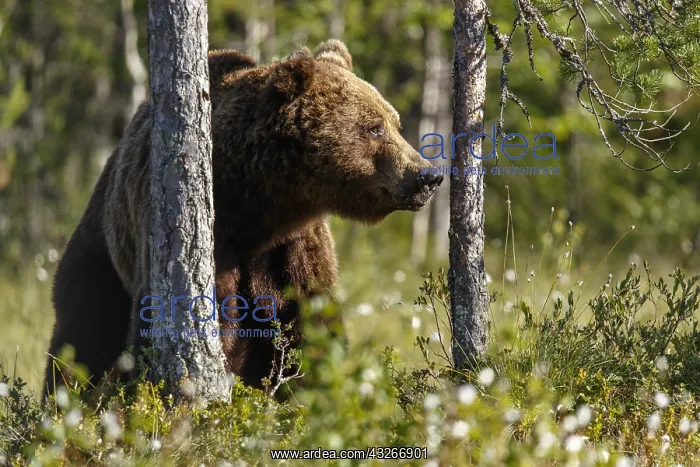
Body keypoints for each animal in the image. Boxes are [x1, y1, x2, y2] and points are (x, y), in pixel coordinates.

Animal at [43, 40, 443, 398]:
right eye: (374, 127)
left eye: (395, 122)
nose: (427, 175)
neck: (261, 207)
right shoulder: (212, 240)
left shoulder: (295, 246)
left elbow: (312, 324)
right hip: (101, 251)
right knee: (82, 334)